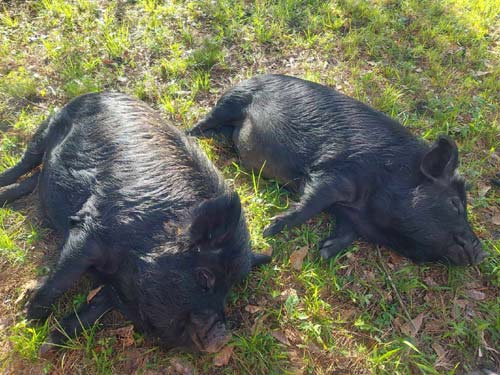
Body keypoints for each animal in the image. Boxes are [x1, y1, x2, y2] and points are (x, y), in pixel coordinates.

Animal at [0, 92, 270, 354]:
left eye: (229, 292)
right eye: (204, 276)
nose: (223, 338)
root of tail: (99, 93)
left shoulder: (119, 284)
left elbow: (96, 308)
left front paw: (48, 344)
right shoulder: (90, 230)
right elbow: (61, 280)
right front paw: (30, 320)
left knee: (35, 178)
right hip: (49, 126)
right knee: (26, 163)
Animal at [189, 74, 486, 268]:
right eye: (455, 204)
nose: (481, 252)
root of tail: (253, 75)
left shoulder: (349, 213)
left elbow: (346, 233)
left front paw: (323, 252)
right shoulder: (335, 170)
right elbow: (311, 203)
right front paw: (270, 229)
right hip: (234, 99)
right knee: (205, 119)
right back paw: (191, 135)